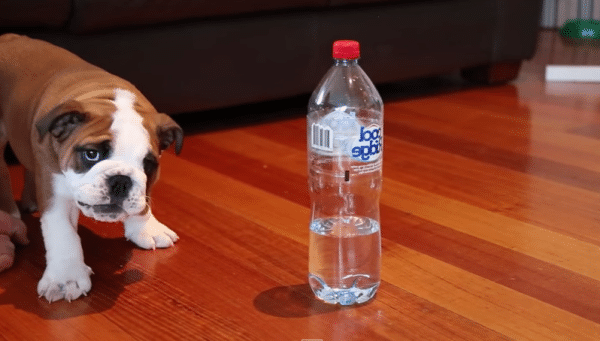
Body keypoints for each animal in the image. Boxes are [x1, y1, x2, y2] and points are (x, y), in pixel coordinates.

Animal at [0, 33, 183, 300]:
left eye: (148, 165)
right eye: (91, 154)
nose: (121, 180)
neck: (105, 97)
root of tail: (9, 38)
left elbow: (143, 200)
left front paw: (146, 227)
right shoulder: (55, 191)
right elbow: (63, 233)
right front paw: (65, 277)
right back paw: (11, 213)